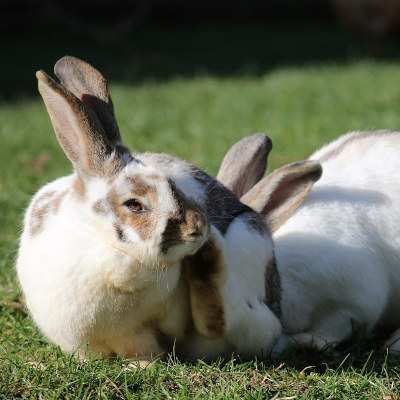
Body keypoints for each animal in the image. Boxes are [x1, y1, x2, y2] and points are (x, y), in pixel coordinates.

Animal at [17, 55, 322, 360]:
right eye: (134, 204)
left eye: (175, 187)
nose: (198, 227)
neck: (110, 251)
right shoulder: (120, 335)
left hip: (249, 249)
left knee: (233, 320)